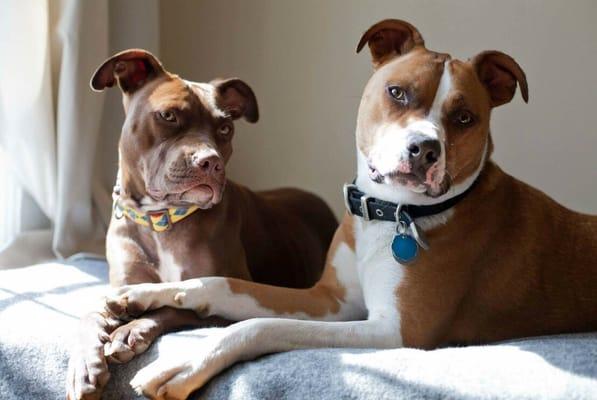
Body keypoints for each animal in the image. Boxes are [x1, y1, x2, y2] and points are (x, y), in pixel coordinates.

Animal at [65, 49, 338, 400]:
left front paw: (130, 330)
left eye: (225, 128)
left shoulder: (228, 293)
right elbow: (92, 312)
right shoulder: (120, 285)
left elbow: (176, 305)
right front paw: (84, 365)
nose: (210, 162)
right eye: (168, 115)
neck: (162, 221)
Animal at [103, 21, 596, 400]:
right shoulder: (329, 301)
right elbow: (220, 283)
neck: (390, 213)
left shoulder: (396, 331)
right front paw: (140, 295)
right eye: (397, 92)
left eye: (463, 118)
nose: (424, 149)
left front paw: (183, 365)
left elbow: (258, 326)